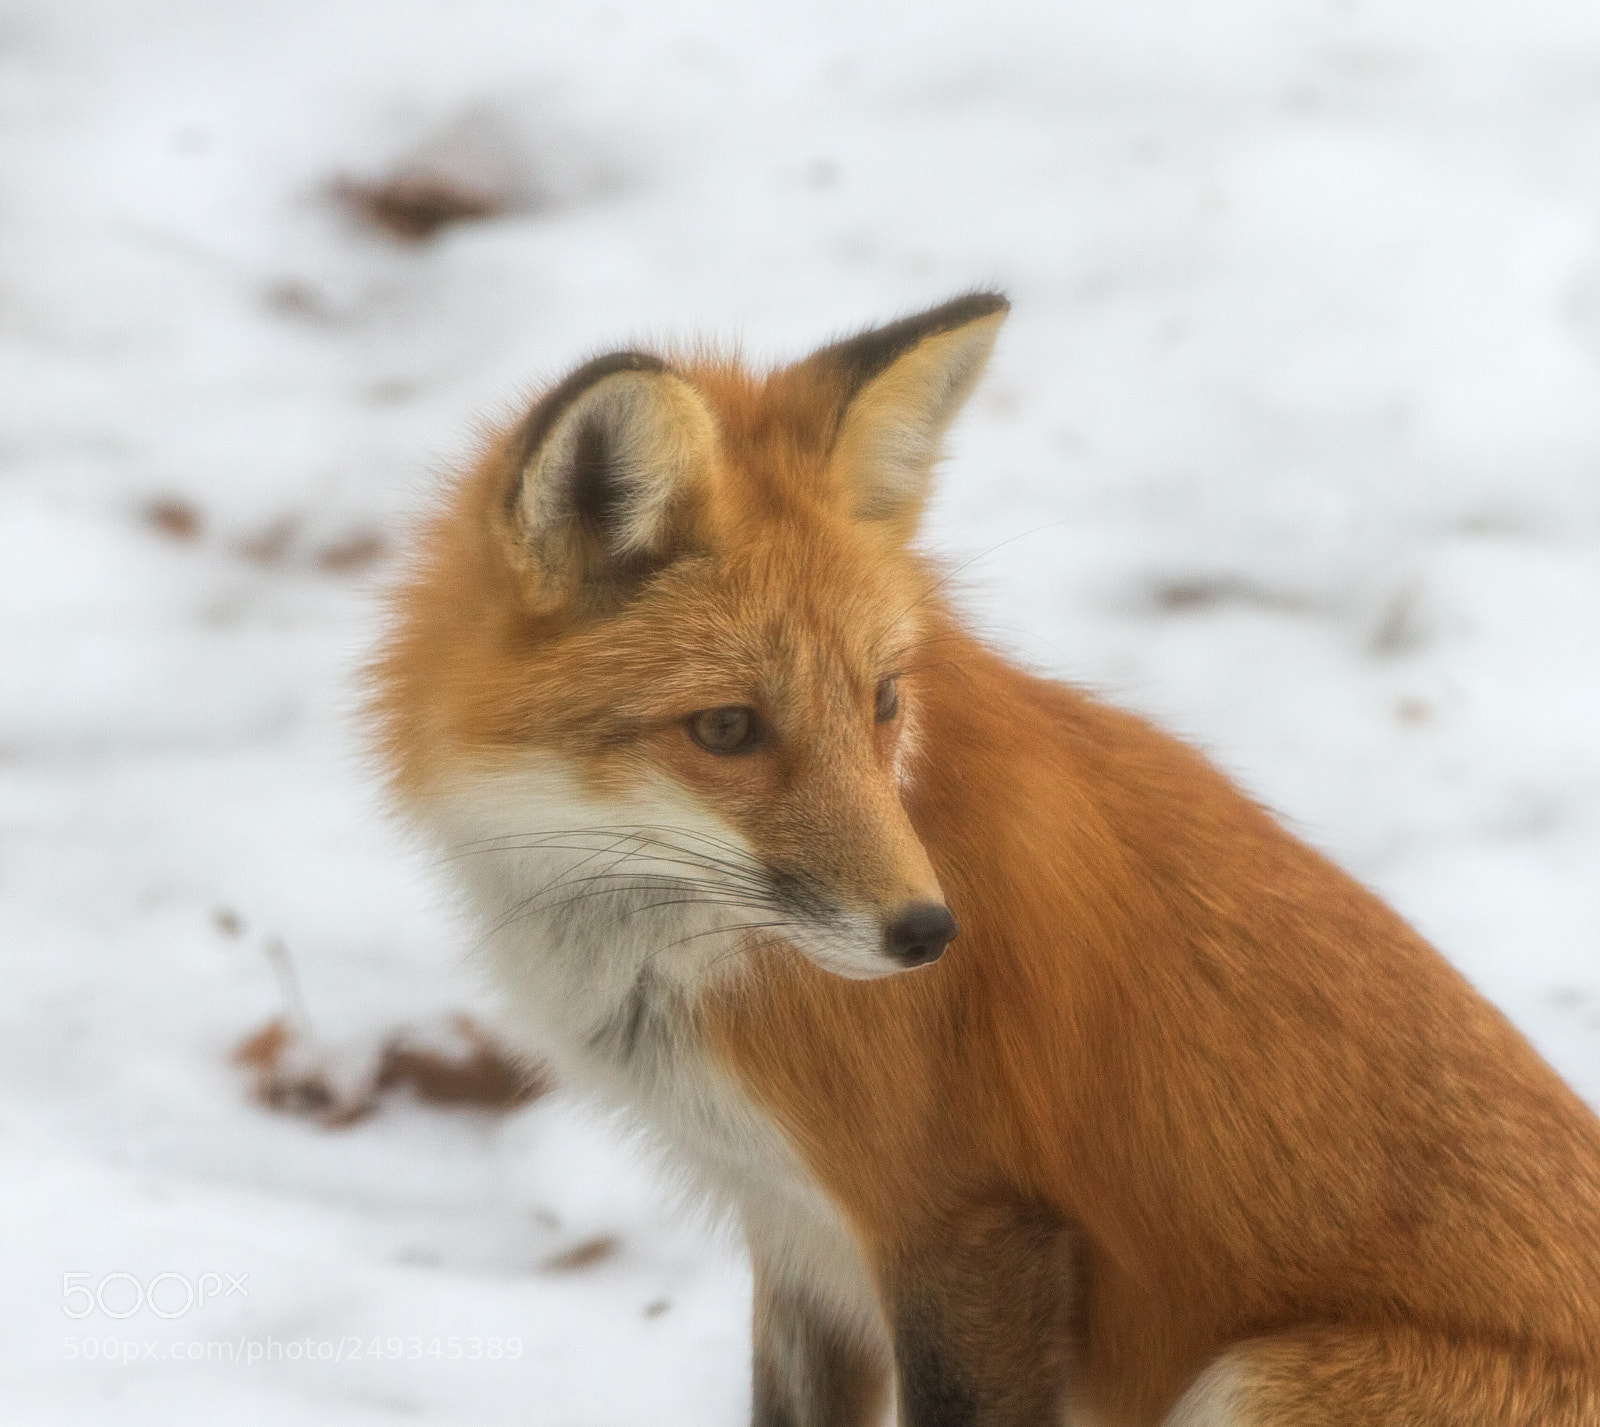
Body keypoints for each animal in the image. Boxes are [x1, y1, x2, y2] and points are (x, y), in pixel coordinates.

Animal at [368, 293, 1600, 1425]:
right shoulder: (800, 1240)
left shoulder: (962, 1227)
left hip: (1256, 1382)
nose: (928, 933)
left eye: (882, 701)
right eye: (725, 728)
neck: (683, 958)